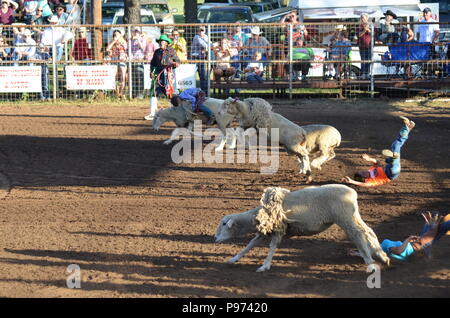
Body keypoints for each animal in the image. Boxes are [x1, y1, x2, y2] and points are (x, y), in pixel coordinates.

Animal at [215, 185, 390, 272]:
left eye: (224, 224)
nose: (215, 239)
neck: (259, 214)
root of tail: (353, 192)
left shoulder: (277, 230)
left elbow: (272, 247)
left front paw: (265, 265)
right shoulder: (266, 231)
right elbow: (250, 244)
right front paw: (234, 258)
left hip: (345, 217)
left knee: (358, 235)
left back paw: (369, 261)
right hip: (352, 216)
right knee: (368, 232)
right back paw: (381, 255)